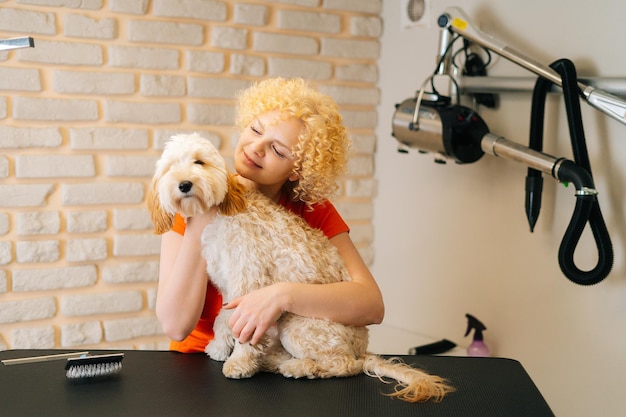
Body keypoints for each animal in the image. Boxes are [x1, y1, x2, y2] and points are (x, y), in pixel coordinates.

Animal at [149, 132, 450, 402]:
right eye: (170, 167)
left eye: (199, 162)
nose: (184, 184)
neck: (220, 212)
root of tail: (361, 348)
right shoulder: (230, 286)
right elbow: (223, 319)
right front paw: (220, 348)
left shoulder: (250, 285)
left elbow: (242, 329)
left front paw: (239, 362)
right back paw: (273, 359)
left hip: (298, 325)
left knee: (344, 365)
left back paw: (297, 366)